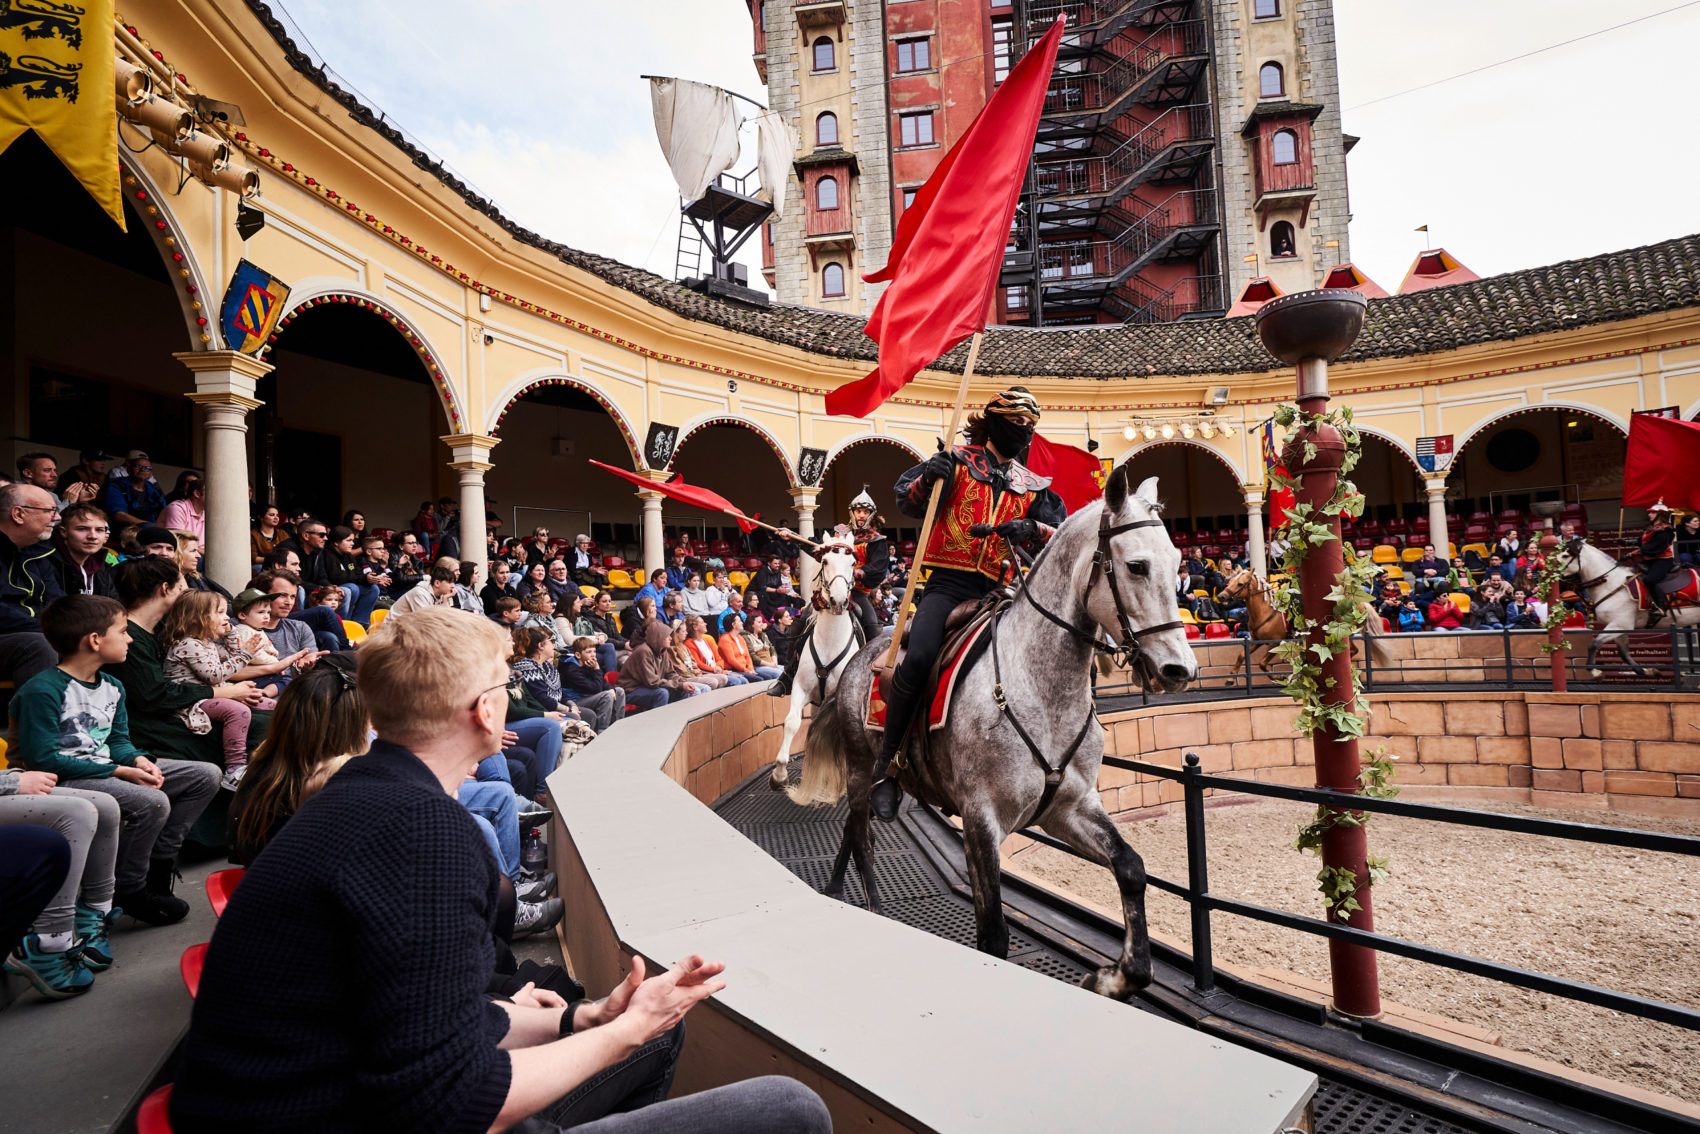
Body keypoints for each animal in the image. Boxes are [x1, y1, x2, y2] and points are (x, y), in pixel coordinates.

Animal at [771, 540, 863, 788]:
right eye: (825, 561)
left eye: (853, 563)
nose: (838, 602)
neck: (830, 640)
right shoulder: (801, 688)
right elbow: (792, 722)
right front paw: (779, 775)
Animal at [792, 465, 1196, 999]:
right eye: (1136, 566)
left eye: (1176, 562)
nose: (1179, 670)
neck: (1041, 691)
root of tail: (862, 657)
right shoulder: (981, 819)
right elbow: (993, 935)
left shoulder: (1070, 807)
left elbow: (1131, 869)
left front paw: (1112, 976)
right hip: (860, 770)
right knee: (861, 840)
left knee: (854, 834)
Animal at [1564, 540, 1700, 673]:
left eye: (1565, 555)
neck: (1611, 584)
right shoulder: (1619, 627)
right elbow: (1623, 653)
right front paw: (1645, 670)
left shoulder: (1620, 624)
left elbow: (1594, 644)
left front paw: (1593, 670)